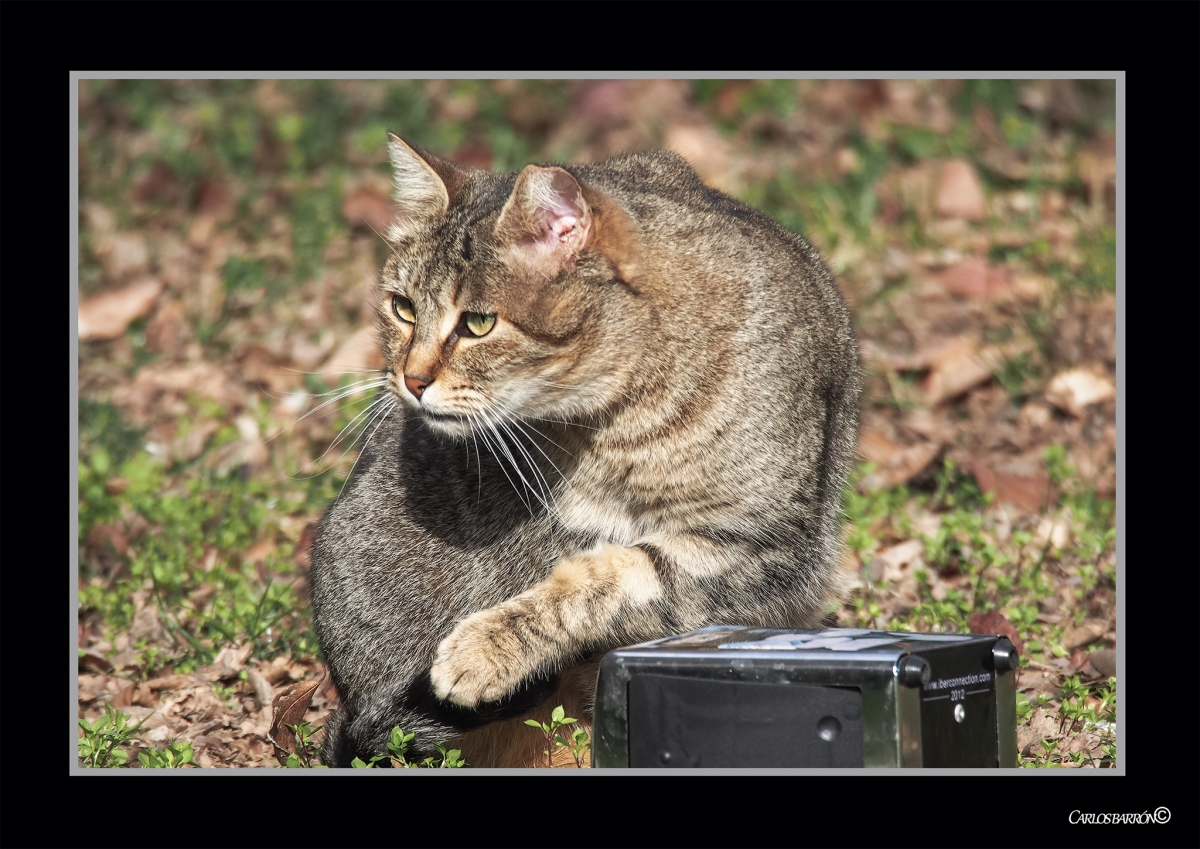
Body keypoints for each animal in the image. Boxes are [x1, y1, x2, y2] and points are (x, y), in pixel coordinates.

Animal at [304, 134, 859, 767]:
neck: (620, 417)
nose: (410, 380)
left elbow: (604, 576)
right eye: (402, 308)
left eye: (478, 324)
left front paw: (483, 648)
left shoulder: (762, 551)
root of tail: (351, 703)